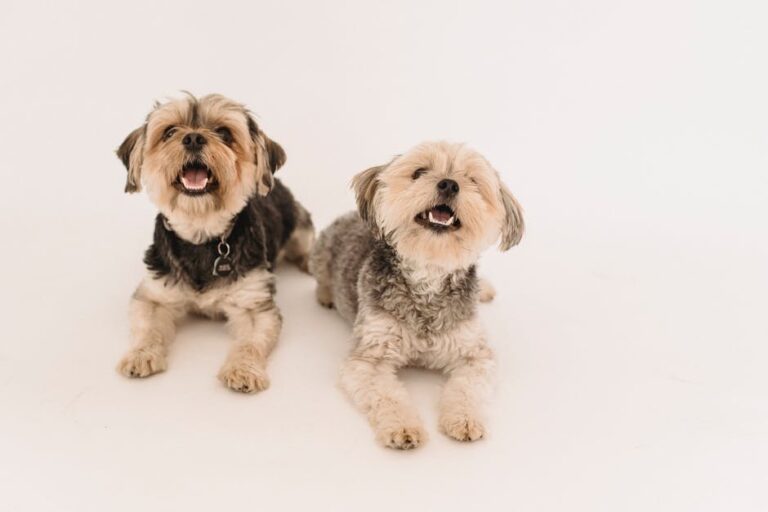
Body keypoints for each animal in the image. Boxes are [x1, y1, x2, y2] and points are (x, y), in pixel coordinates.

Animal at [114, 94, 312, 392]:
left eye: (224, 133)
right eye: (169, 132)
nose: (193, 138)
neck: (202, 235)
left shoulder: (254, 304)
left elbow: (250, 343)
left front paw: (243, 369)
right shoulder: (154, 294)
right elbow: (147, 327)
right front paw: (141, 354)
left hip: (299, 222)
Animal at [308, 140, 524, 448]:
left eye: (472, 180)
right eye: (419, 172)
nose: (449, 184)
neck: (428, 274)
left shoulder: (476, 355)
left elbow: (466, 389)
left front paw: (464, 419)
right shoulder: (370, 357)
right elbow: (389, 396)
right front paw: (403, 427)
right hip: (319, 254)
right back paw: (326, 295)